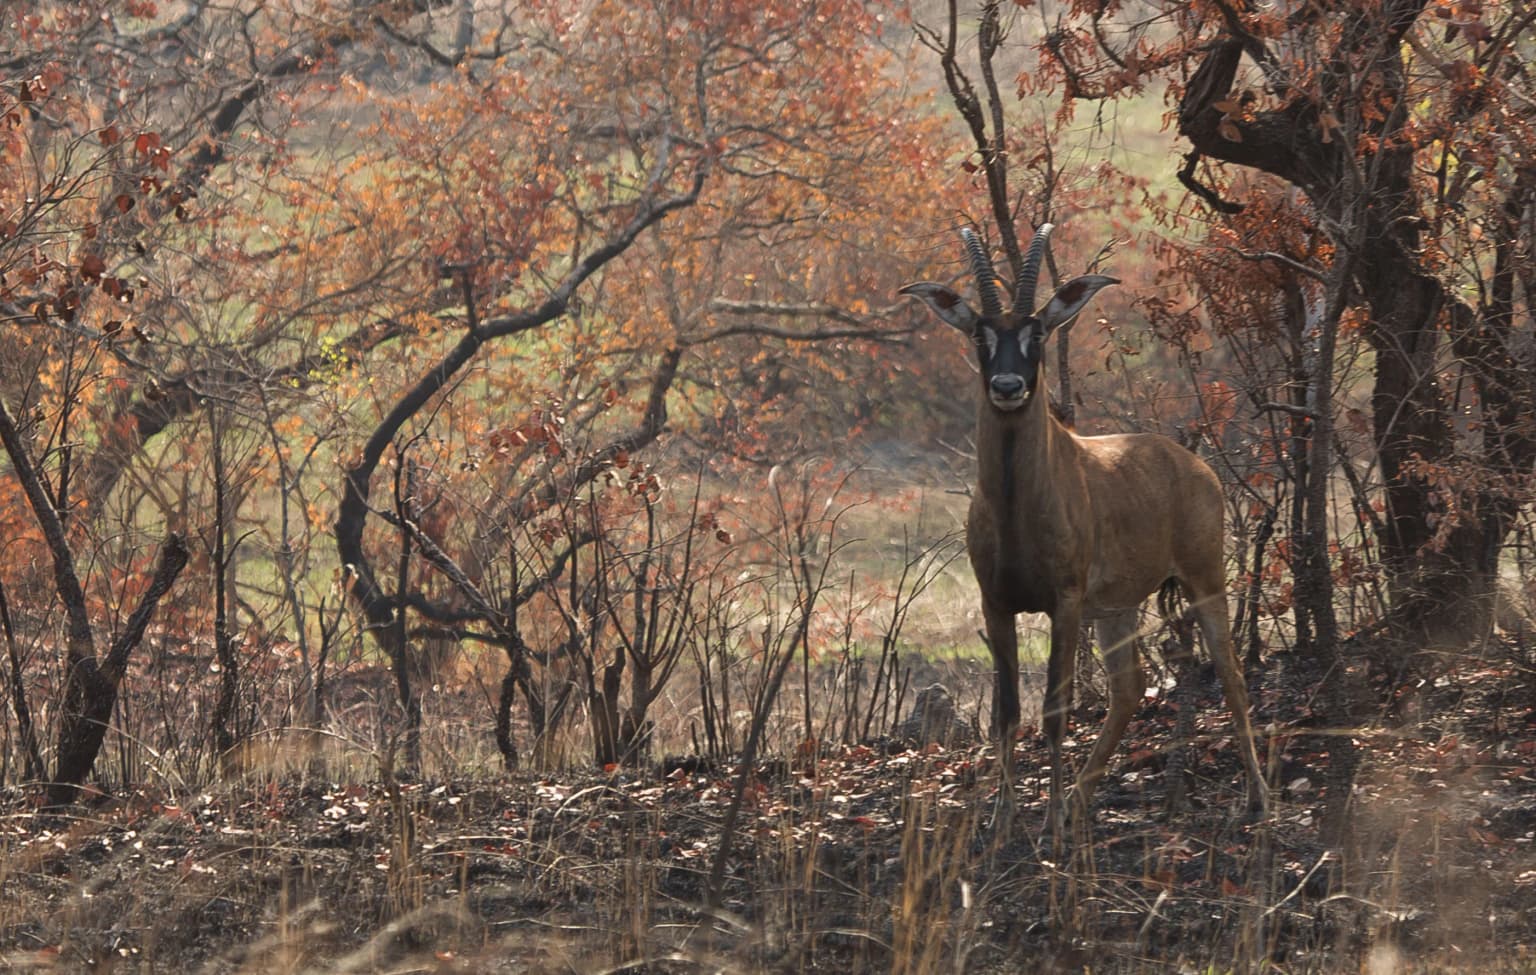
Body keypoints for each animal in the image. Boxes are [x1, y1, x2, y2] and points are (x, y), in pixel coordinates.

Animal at [900, 224, 1268, 836]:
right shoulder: (996, 604)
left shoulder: (1064, 602)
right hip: (1117, 607)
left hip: (1203, 578)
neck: (1015, 507)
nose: (1008, 386)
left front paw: (1047, 819)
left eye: (1037, 332)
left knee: (1232, 672)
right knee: (1129, 686)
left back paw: (1257, 798)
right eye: (980, 332)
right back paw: (1080, 797)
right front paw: (1003, 817)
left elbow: (1055, 708)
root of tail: (1193, 464)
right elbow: (1007, 713)